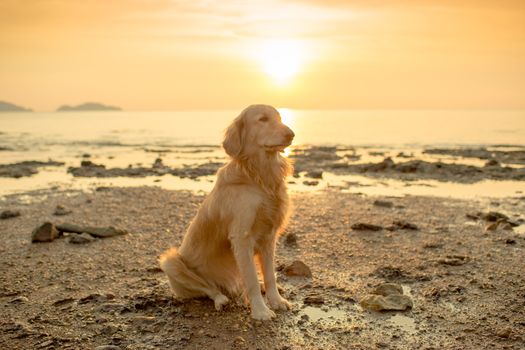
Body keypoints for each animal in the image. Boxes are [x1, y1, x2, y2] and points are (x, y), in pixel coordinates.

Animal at [159, 104, 294, 320]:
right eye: (263, 119)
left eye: (279, 118)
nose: (291, 134)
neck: (259, 176)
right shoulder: (242, 237)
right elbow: (252, 279)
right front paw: (261, 311)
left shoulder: (269, 236)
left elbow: (270, 275)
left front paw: (276, 301)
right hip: (171, 262)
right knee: (209, 289)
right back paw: (221, 299)